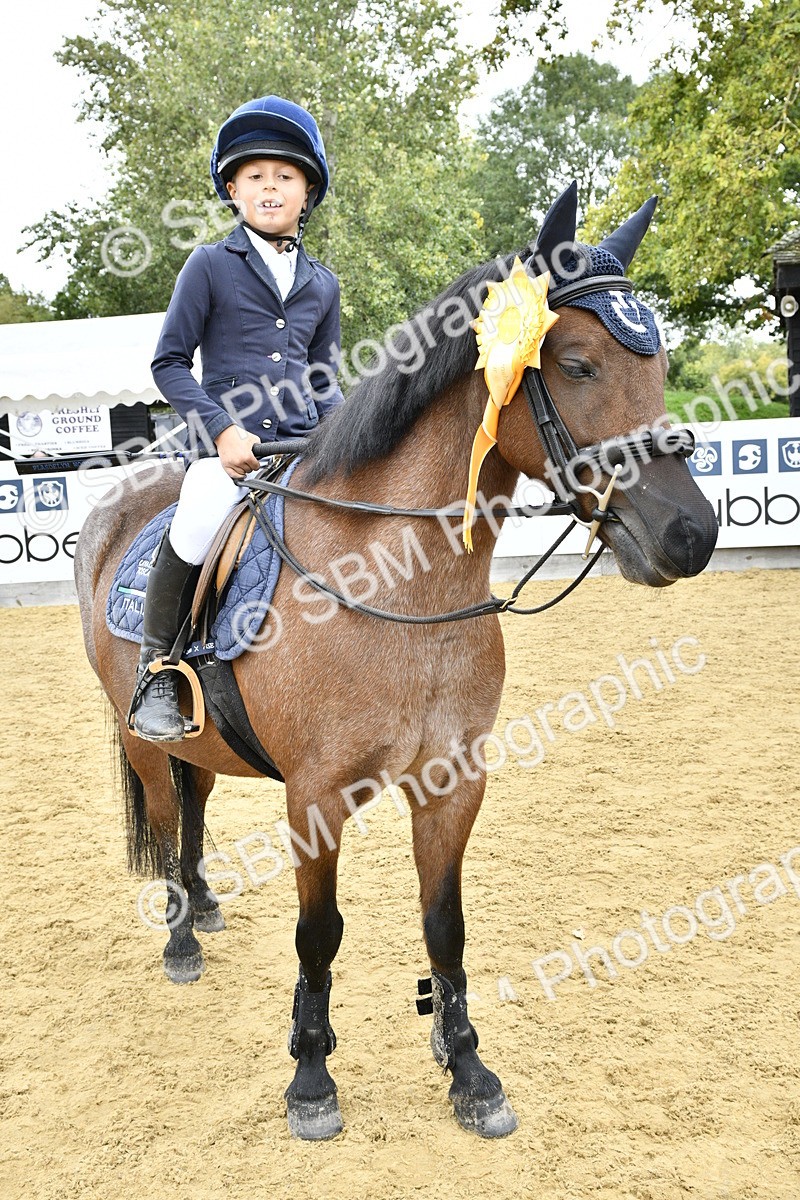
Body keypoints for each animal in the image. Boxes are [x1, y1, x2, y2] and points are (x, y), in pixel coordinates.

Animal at [74, 182, 718, 1141]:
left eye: (663, 364)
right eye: (575, 363)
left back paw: (207, 904)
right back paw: (183, 936)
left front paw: (470, 1071)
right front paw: (311, 1078)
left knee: (192, 808)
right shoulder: (314, 797)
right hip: (145, 738)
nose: (692, 534)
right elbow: (319, 935)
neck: (400, 589)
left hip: (206, 743)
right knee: (162, 813)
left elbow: (445, 925)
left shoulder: (453, 781)